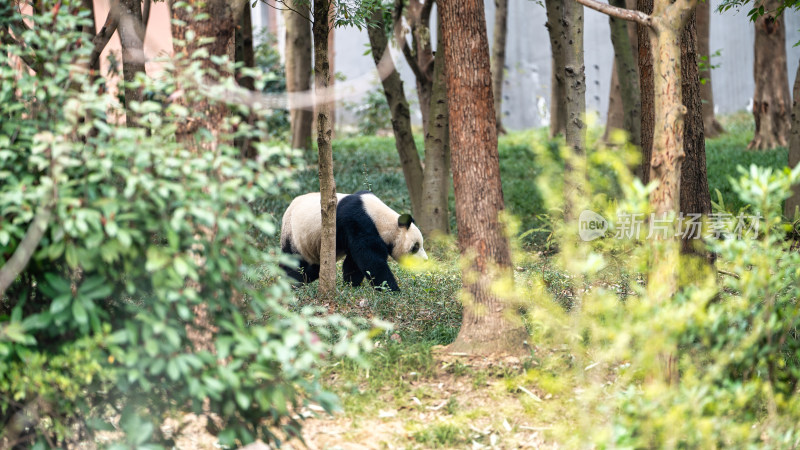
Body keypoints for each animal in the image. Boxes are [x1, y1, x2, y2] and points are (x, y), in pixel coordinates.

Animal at [280, 191, 428, 292]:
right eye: (415, 247)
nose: (425, 260)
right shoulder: (358, 222)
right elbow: (372, 261)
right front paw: (391, 290)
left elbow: (354, 262)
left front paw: (351, 285)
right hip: (294, 234)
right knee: (293, 262)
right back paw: (292, 283)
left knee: (315, 267)